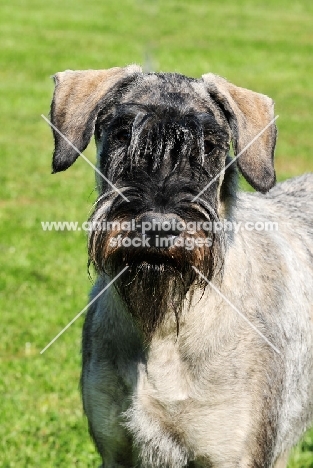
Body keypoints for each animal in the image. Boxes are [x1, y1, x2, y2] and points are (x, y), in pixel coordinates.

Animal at [48, 65, 312, 464]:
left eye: (211, 146)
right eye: (123, 134)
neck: (162, 330)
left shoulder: (232, 455)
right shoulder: (116, 452)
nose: (158, 226)